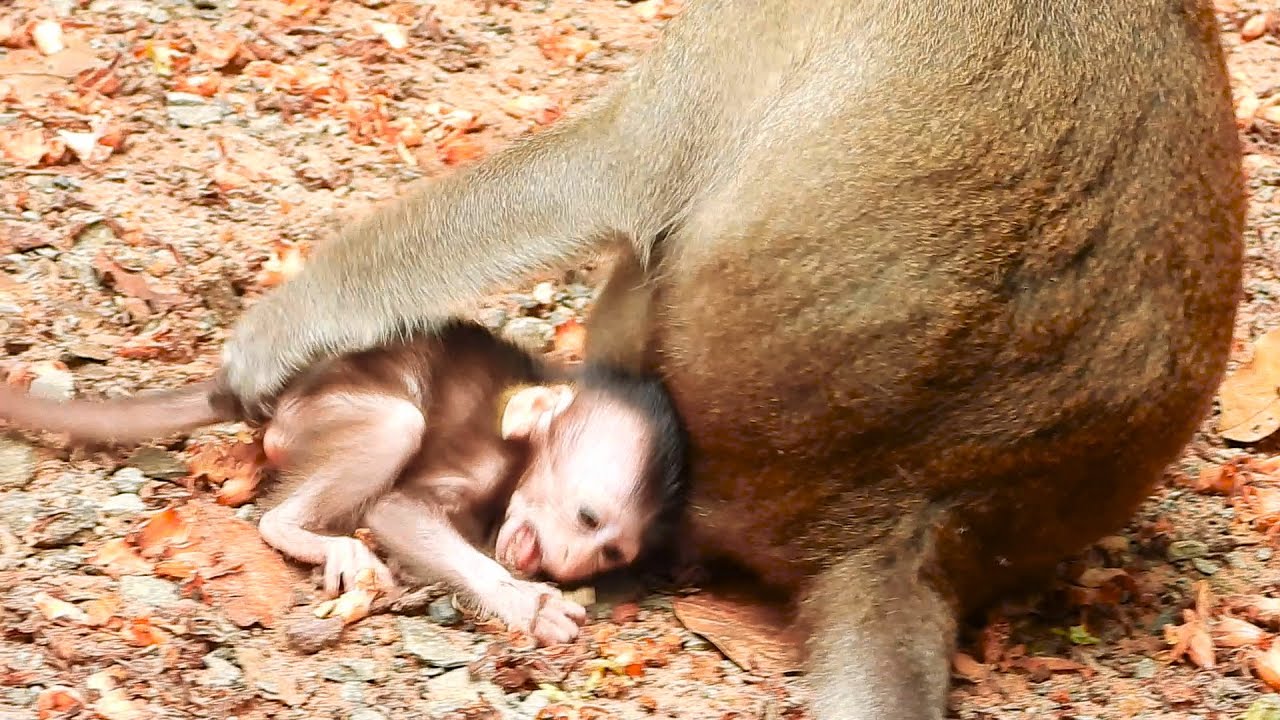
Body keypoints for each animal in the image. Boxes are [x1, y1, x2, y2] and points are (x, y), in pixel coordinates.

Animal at [0, 321, 689, 646]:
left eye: (608, 553)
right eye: (587, 518)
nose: (567, 563)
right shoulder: (481, 457)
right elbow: (395, 511)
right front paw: (528, 603)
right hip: (314, 419)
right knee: (394, 423)